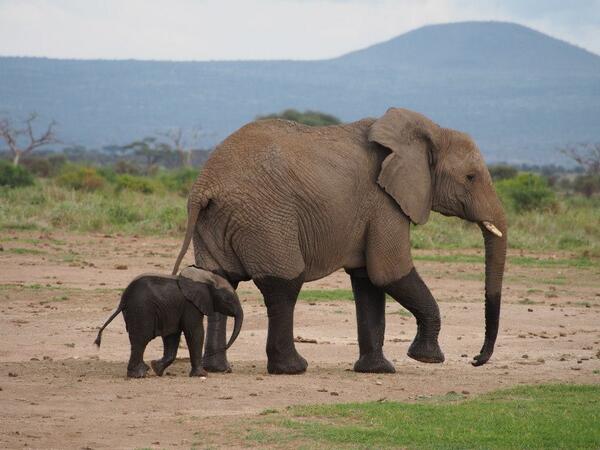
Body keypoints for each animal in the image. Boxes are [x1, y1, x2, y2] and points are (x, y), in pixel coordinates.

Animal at [94, 268, 244, 380]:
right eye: (228, 299)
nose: (224, 347)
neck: (207, 277)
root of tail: (123, 299)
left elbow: (172, 336)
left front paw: (157, 368)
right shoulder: (190, 305)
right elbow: (195, 332)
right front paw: (201, 375)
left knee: (137, 340)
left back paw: (144, 371)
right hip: (142, 310)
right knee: (141, 340)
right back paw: (139, 375)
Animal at [172, 107, 506, 374]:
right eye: (471, 177)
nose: (476, 359)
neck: (428, 132)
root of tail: (204, 185)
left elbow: (368, 280)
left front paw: (377, 370)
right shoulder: (384, 202)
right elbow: (389, 272)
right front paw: (426, 358)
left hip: (217, 220)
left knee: (220, 279)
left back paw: (218, 369)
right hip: (266, 218)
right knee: (284, 284)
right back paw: (292, 368)